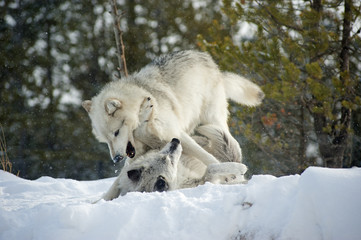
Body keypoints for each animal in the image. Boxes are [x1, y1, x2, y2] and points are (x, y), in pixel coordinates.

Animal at [81, 50, 262, 166]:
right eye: (105, 141)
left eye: (116, 133)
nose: (116, 159)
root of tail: (208, 59)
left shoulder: (174, 132)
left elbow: (204, 155)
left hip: (212, 120)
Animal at [97, 124, 248, 200]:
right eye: (168, 161)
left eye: (162, 155)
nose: (175, 140)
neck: (181, 175)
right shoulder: (202, 180)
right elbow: (211, 168)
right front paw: (240, 168)